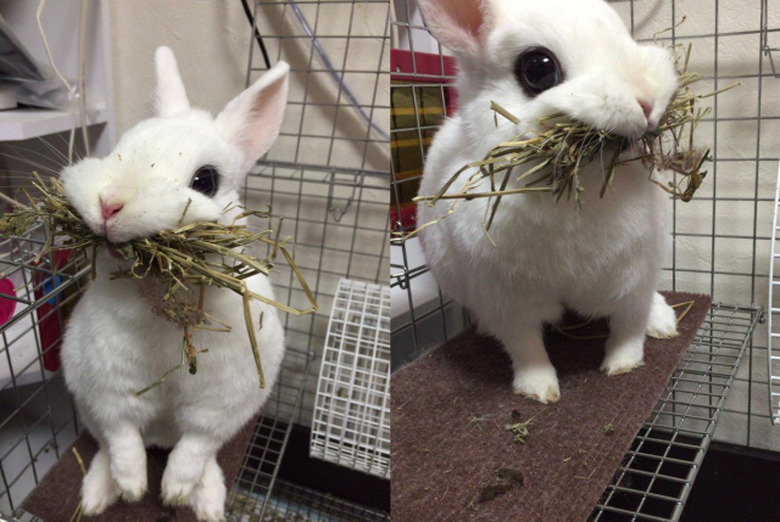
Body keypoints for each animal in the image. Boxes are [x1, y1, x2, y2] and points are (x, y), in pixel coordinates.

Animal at [58, 46, 290, 516]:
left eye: (206, 180)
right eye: (119, 150)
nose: (110, 205)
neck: (163, 298)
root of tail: (160, 436)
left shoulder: (219, 404)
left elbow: (195, 447)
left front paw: (174, 491)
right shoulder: (110, 390)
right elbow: (123, 439)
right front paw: (132, 488)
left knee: (201, 452)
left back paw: (208, 501)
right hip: (85, 400)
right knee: (107, 446)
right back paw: (97, 495)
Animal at [418, 0, 680, 402]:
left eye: (624, 35)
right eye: (538, 68)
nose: (646, 100)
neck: (578, 190)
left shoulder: (633, 276)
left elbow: (629, 325)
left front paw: (622, 365)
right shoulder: (506, 300)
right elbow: (526, 347)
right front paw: (540, 390)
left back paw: (664, 322)